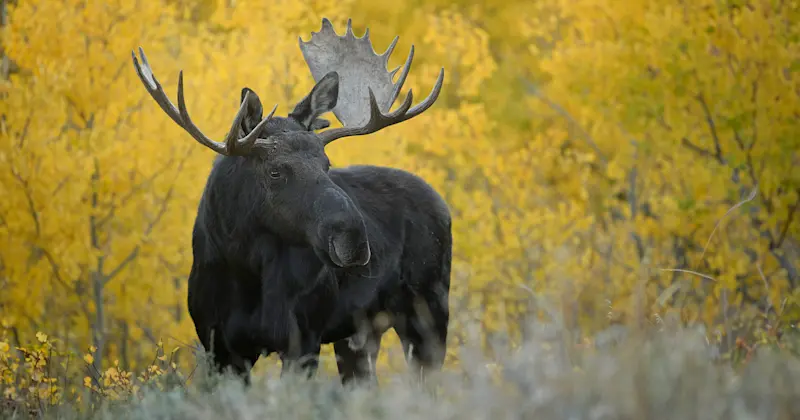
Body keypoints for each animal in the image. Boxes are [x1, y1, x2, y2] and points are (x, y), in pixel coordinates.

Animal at [131, 18, 451, 385]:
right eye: (275, 172)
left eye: (326, 163)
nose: (354, 239)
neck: (246, 269)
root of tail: (442, 204)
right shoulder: (220, 346)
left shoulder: (303, 339)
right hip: (360, 333)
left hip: (429, 312)